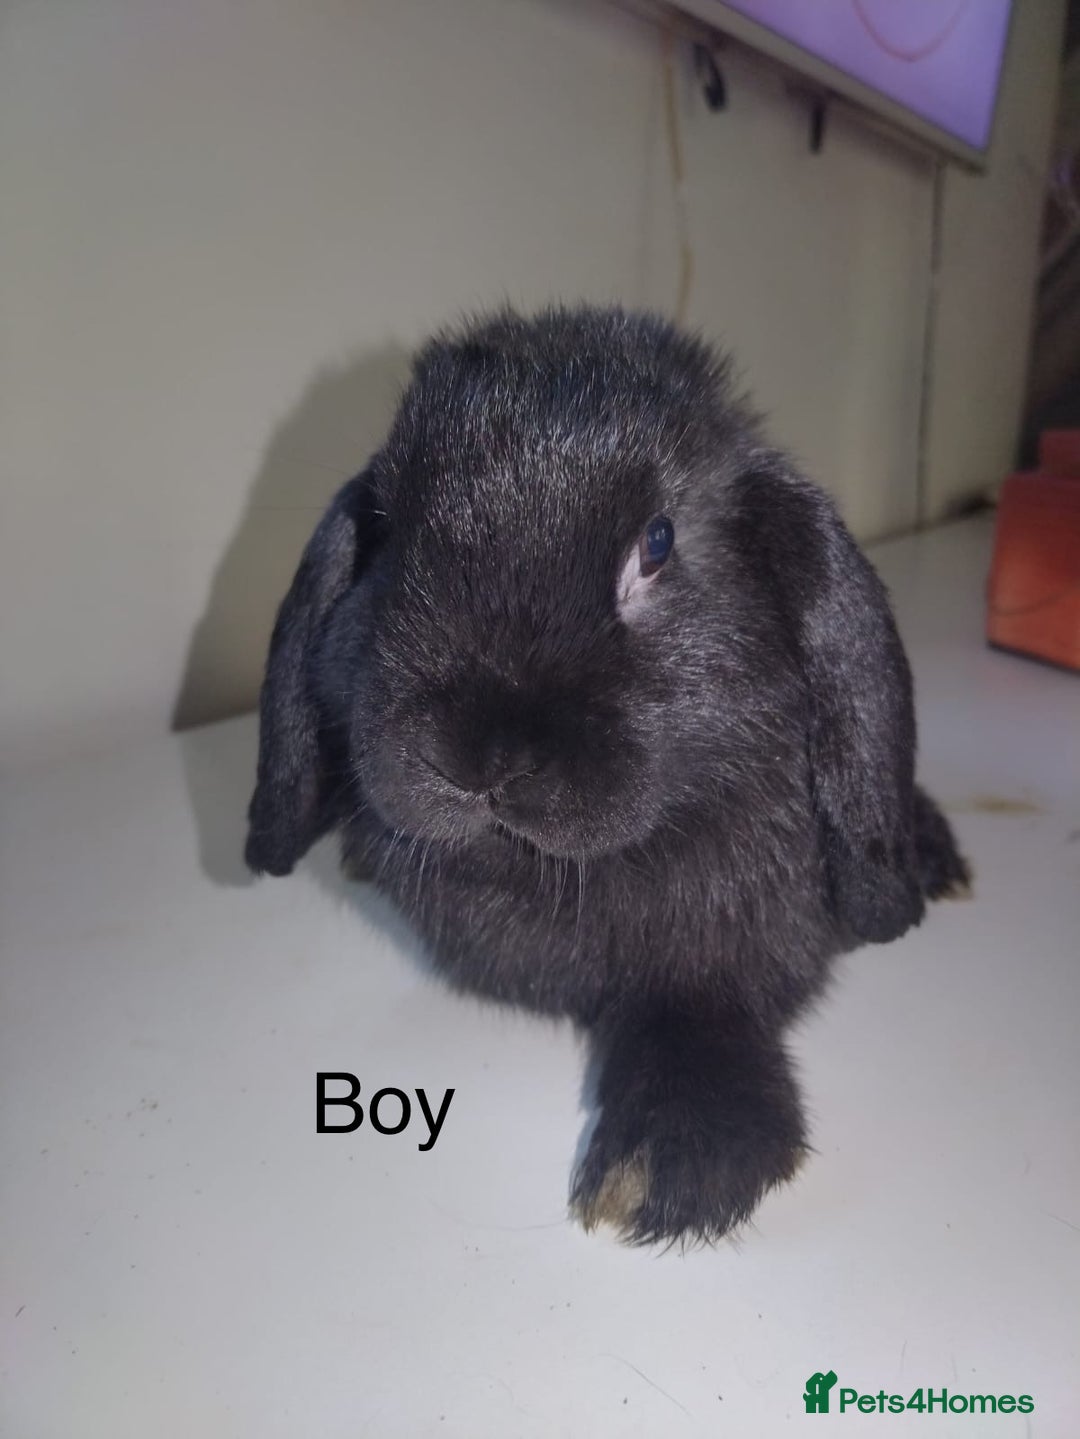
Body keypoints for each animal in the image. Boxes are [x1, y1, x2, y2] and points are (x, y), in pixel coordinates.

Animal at [245, 305, 970, 1245]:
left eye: (657, 544)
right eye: (389, 528)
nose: (485, 756)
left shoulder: (720, 956)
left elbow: (703, 1012)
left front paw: (670, 1164)